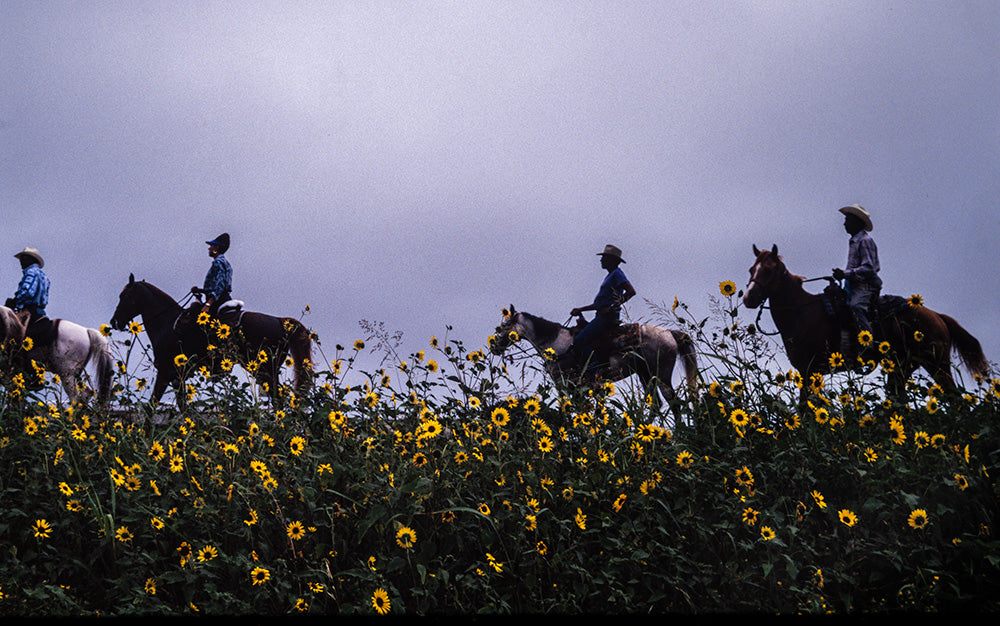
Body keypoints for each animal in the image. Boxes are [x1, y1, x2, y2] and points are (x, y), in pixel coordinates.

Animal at [110, 272, 314, 404]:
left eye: (124, 296)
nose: (114, 322)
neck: (167, 323)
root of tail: (281, 321)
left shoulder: (167, 372)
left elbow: (152, 406)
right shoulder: (176, 378)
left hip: (265, 371)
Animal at [494, 304, 704, 422]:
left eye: (505, 325)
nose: (495, 346)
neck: (556, 344)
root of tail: (669, 334)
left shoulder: (565, 385)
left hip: (661, 374)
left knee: (673, 403)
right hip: (645, 375)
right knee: (656, 404)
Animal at [740, 241, 988, 398]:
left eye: (769, 270)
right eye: (751, 269)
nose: (748, 298)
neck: (802, 312)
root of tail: (938, 316)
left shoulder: (810, 370)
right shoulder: (806, 372)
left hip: (937, 365)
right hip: (903, 368)